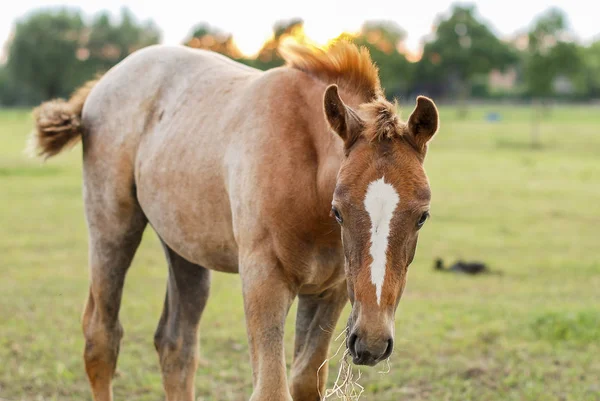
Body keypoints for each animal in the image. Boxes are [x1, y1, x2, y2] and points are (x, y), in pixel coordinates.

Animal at [31, 41, 440, 400]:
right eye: (338, 210)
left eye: (422, 217)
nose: (372, 342)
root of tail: (105, 81)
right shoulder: (263, 279)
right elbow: (272, 390)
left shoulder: (331, 291)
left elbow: (305, 384)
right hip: (112, 227)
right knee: (102, 337)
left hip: (185, 248)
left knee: (176, 345)